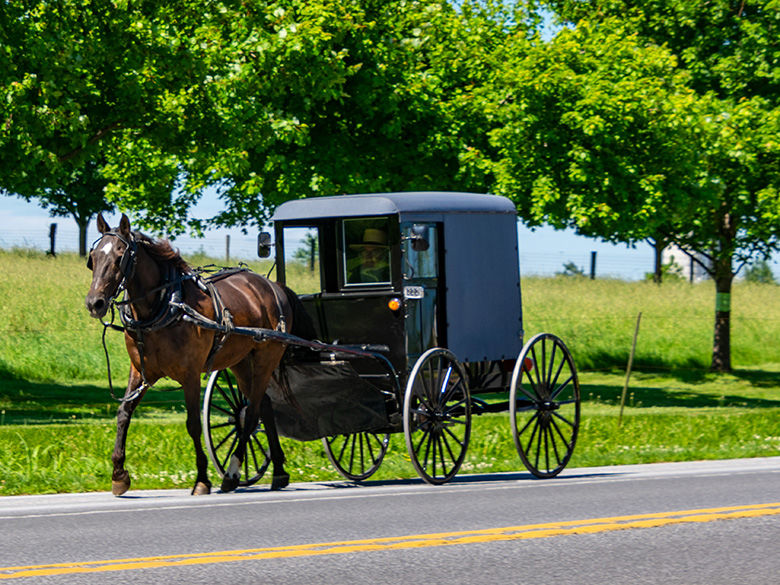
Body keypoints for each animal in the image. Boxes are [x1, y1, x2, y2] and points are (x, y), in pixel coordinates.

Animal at [84, 212, 306, 496]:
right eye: (94, 257)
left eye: (120, 256)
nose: (95, 303)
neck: (165, 304)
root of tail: (273, 285)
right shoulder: (142, 371)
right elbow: (124, 412)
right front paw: (119, 474)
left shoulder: (190, 375)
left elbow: (193, 424)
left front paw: (202, 479)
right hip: (241, 361)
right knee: (264, 407)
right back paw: (278, 471)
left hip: (266, 358)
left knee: (252, 413)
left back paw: (232, 473)